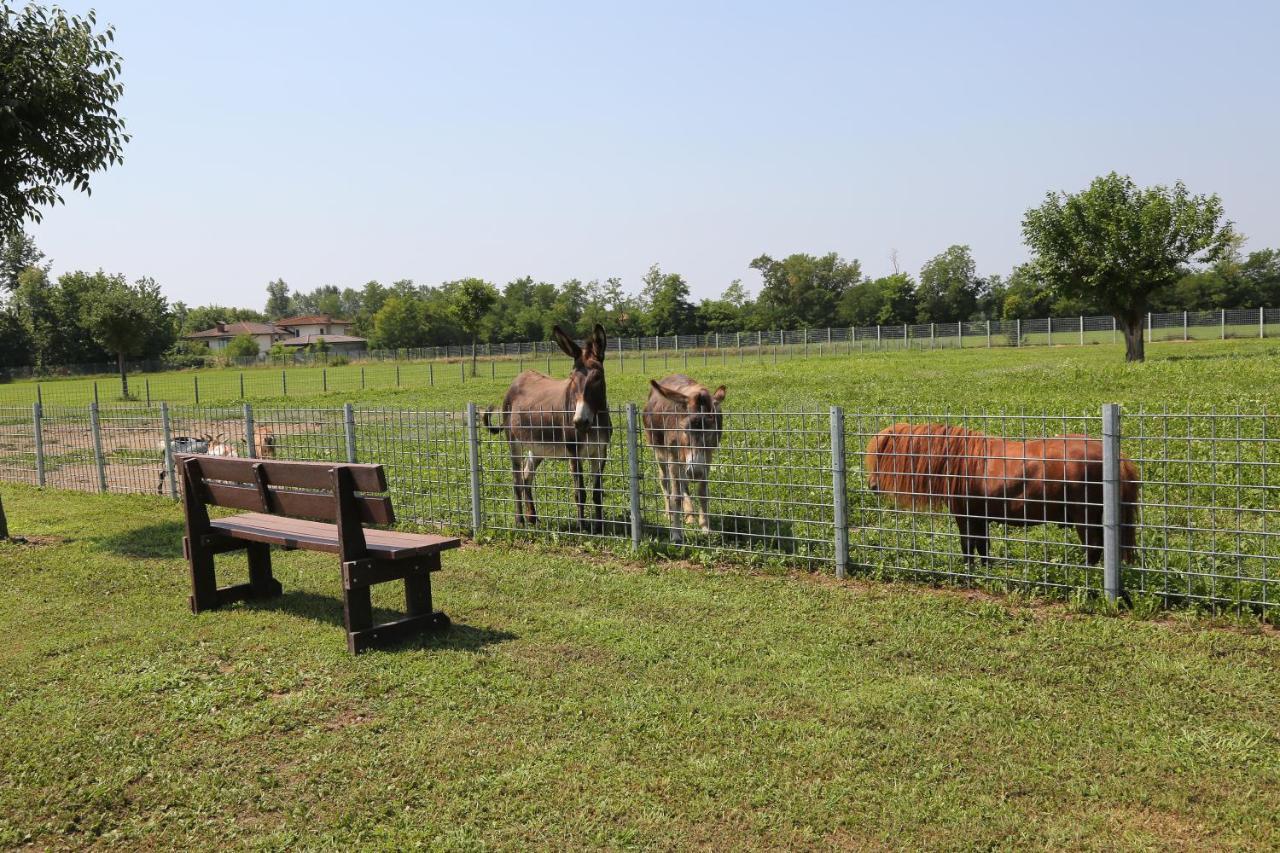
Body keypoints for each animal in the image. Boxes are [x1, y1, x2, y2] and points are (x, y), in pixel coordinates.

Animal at [865, 422, 1136, 563]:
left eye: (883, 456)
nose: (872, 486)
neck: (962, 461)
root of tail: (1115, 456)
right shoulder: (980, 517)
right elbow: (982, 546)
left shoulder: (966, 517)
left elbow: (968, 545)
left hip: (1085, 517)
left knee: (1094, 547)